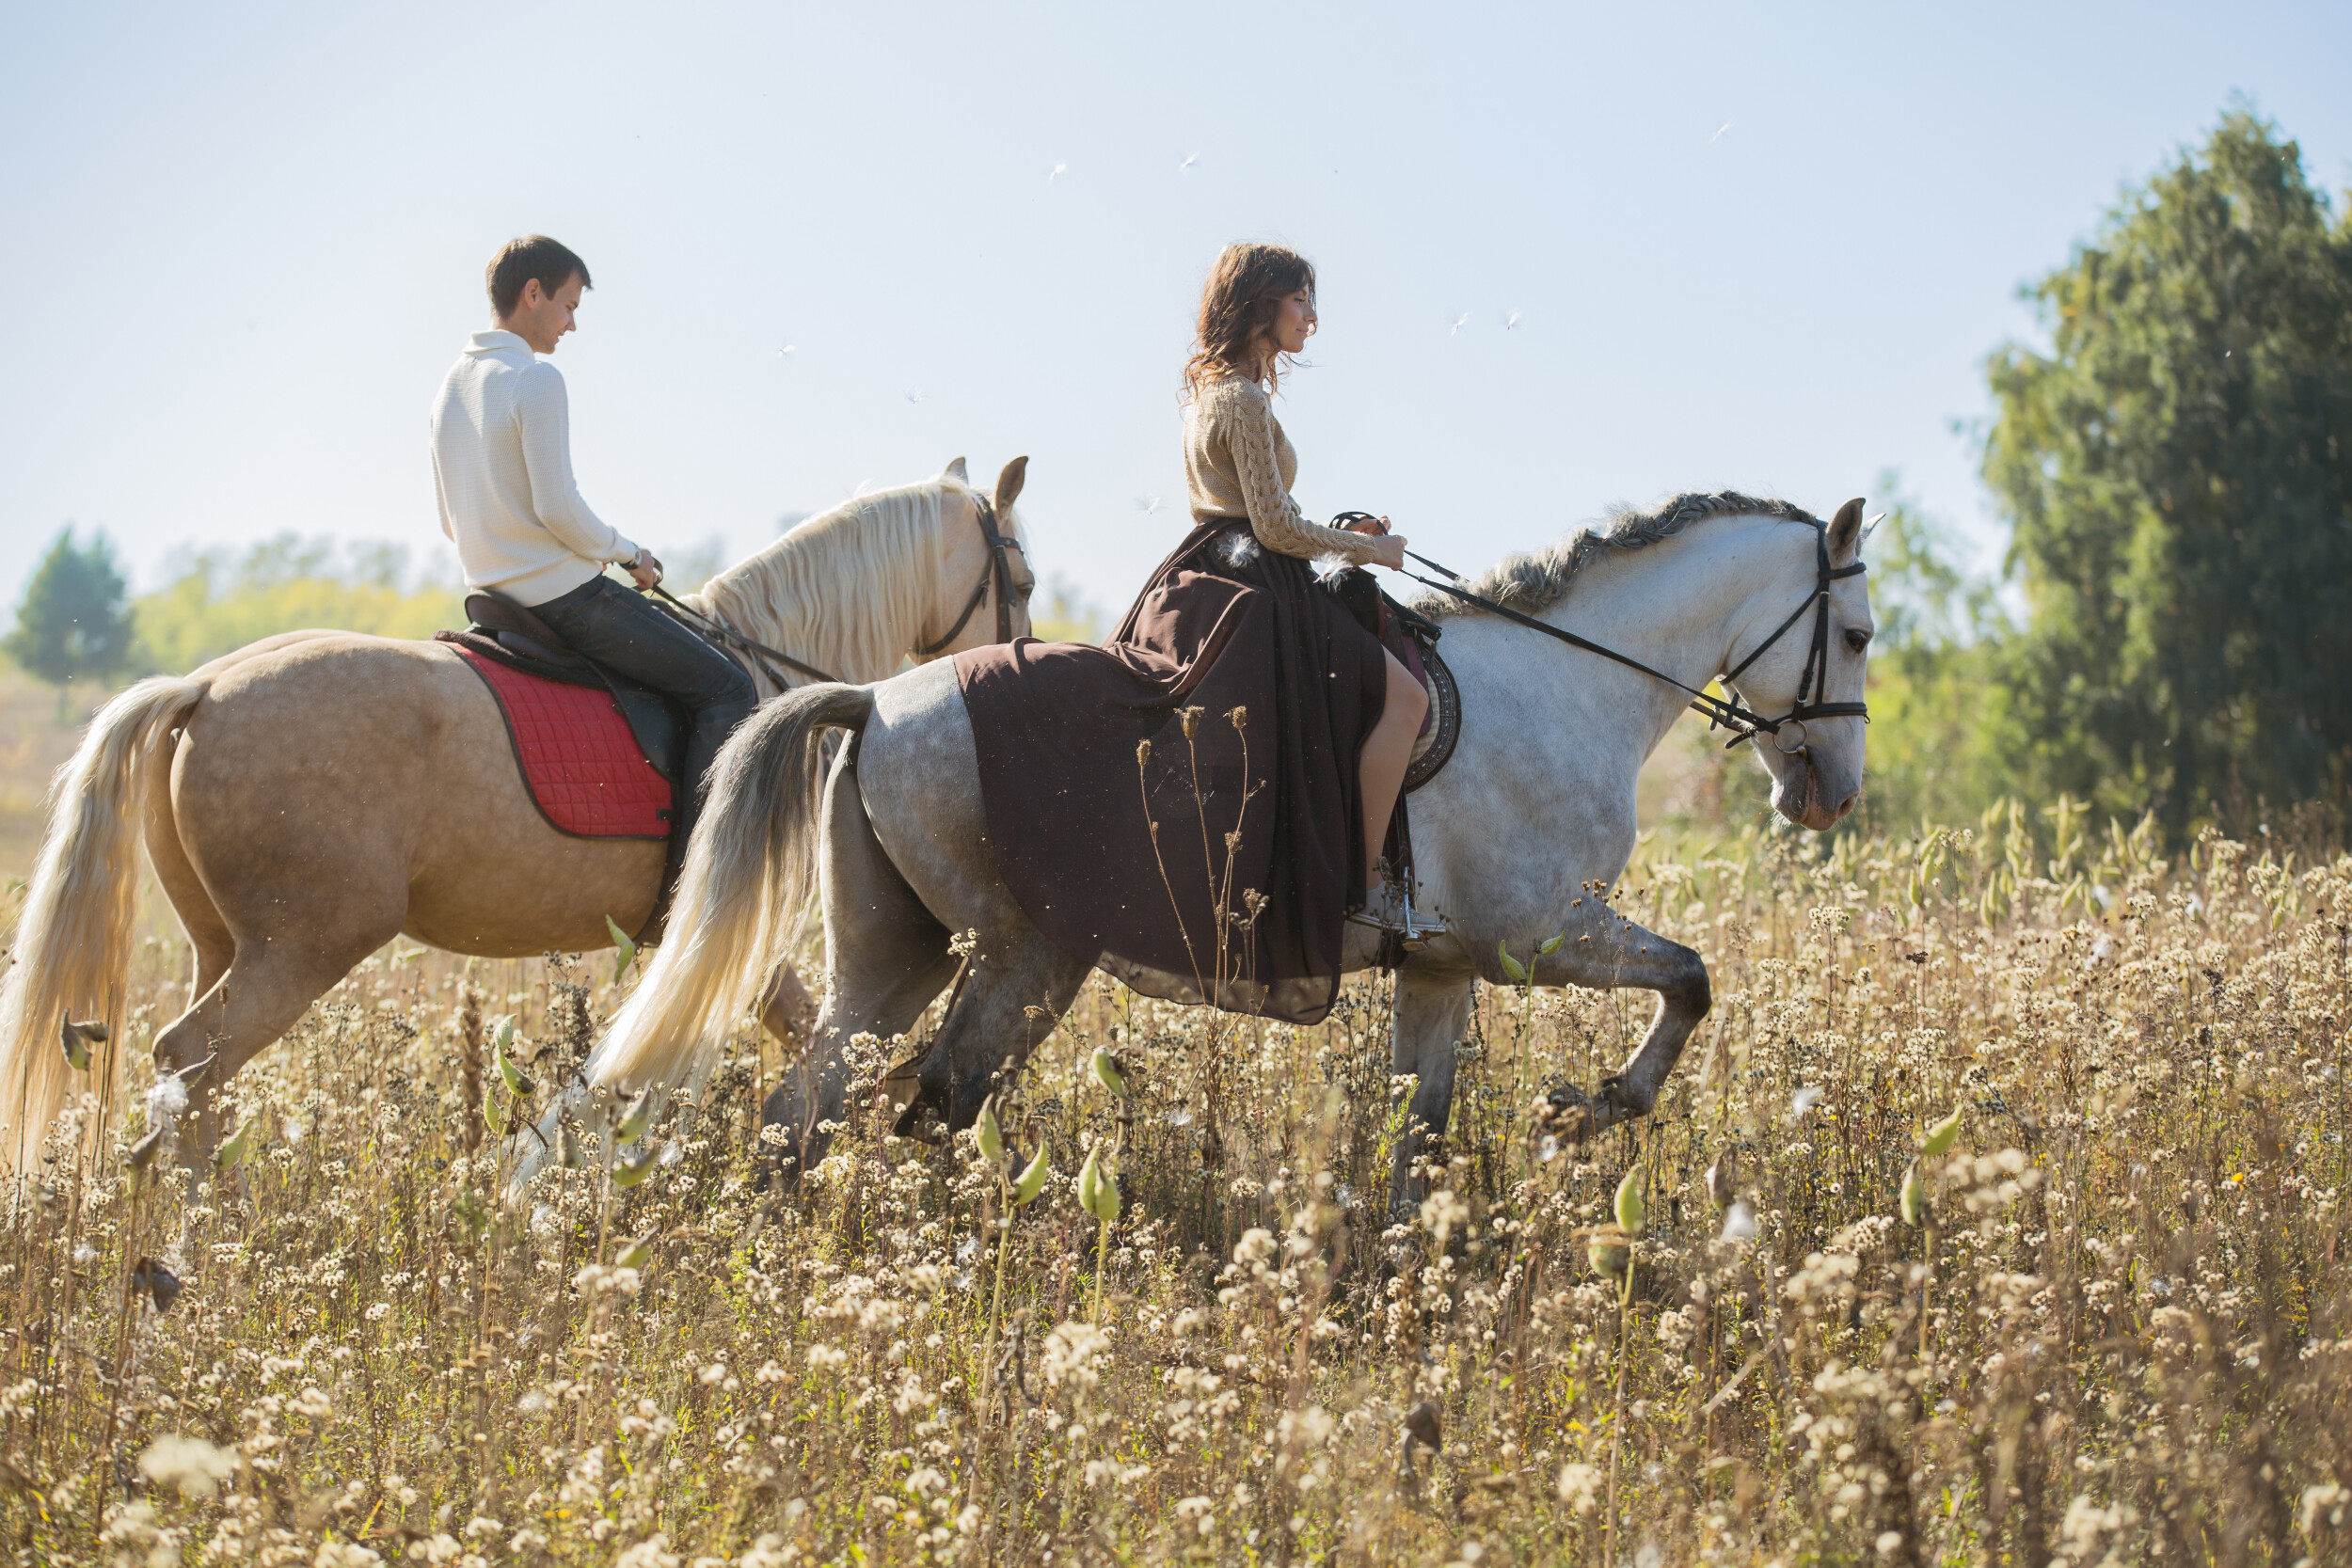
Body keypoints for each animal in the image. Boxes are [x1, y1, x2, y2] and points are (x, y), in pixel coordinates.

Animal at [0, 460, 1035, 1170]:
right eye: (1019, 583)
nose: (1009, 672)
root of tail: (204, 688)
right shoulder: (745, 931)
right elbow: (821, 1039)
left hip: (226, 943)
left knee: (189, 1082)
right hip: (302, 947)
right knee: (189, 1061)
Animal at [519, 491, 1872, 1203]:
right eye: (1856, 632)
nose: (1833, 796)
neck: (1569, 680)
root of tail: (873, 699)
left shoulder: (1444, 968)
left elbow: (1417, 1137)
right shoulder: (1541, 933)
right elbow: (1692, 979)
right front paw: (1594, 1106)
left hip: (900, 948)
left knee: (818, 1102)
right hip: (1025, 955)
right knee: (934, 1095)